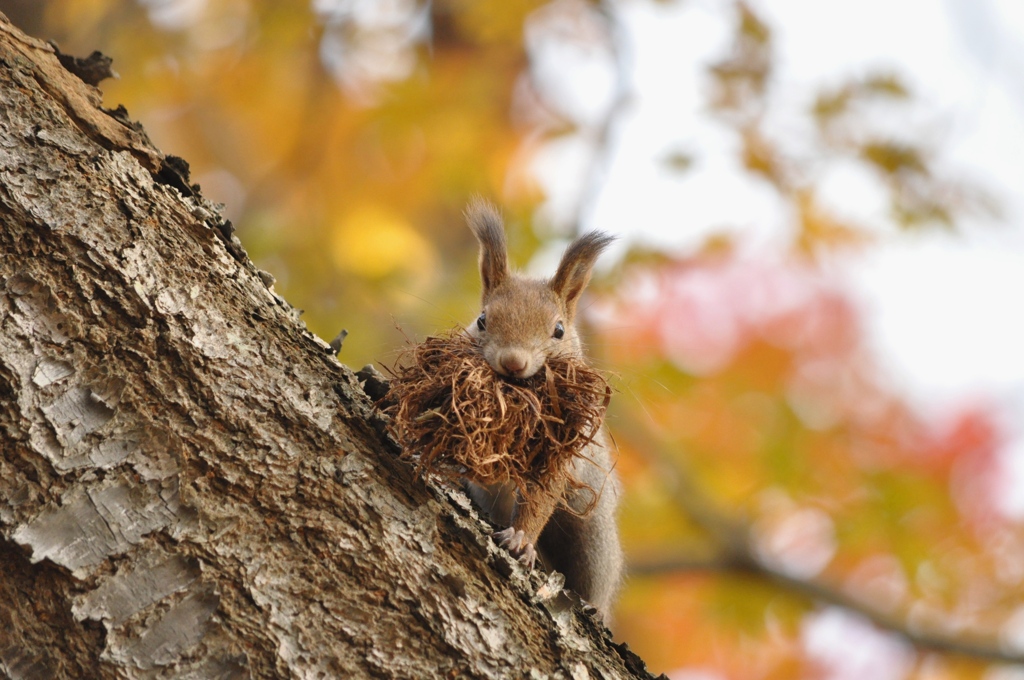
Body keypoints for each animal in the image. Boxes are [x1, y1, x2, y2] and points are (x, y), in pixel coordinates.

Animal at [464, 197, 622, 622]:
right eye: (482, 320)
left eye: (559, 330)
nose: (513, 362)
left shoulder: (562, 453)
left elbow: (541, 497)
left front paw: (521, 537)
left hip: (593, 538)